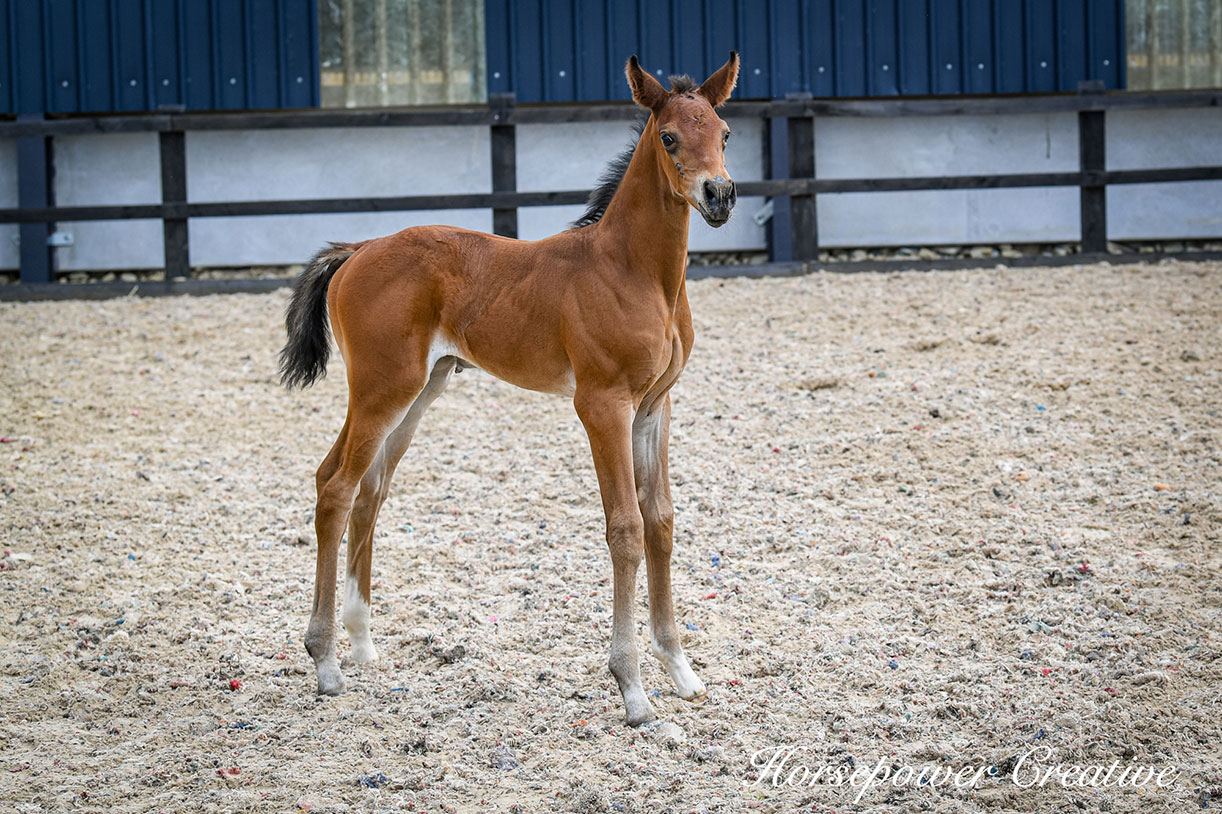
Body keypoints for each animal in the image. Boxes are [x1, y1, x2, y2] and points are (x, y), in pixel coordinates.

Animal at [281, 52, 738, 723]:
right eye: (670, 138)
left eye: (725, 134)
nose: (718, 195)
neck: (635, 271)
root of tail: (358, 249)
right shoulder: (602, 404)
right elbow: (624, 529)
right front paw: (632, 690)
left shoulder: (656, 405)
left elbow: (660, 522)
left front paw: (680, 671)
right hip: (381, 387)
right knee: (336, 489)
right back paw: (327, 664)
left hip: (418, 392)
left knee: (365, 490)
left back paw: (362, 647)